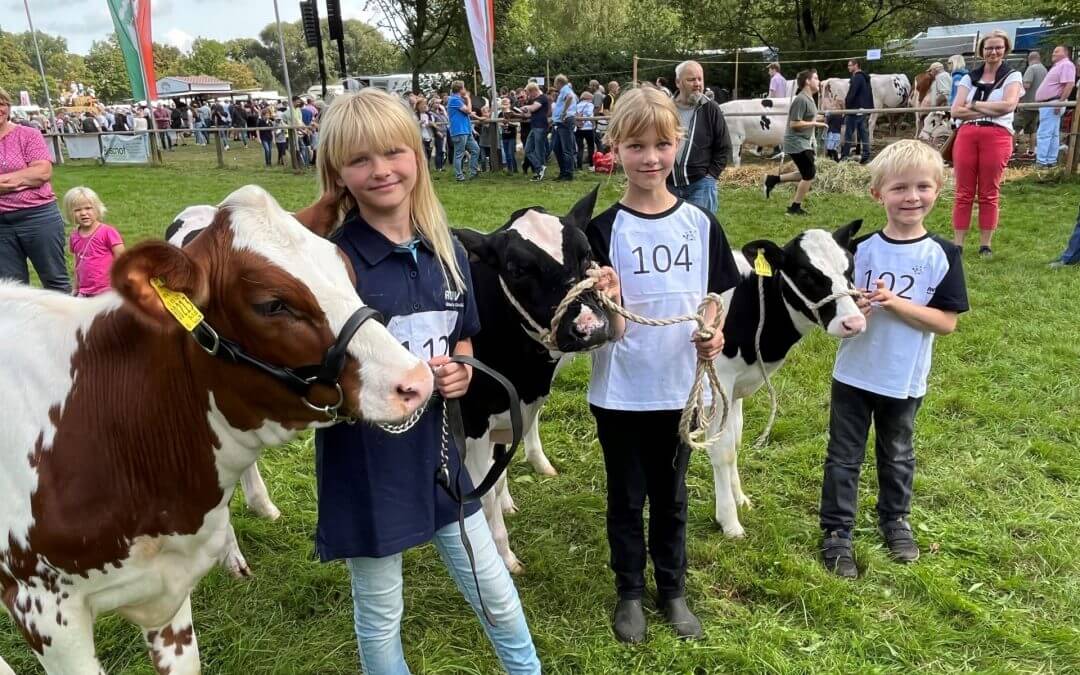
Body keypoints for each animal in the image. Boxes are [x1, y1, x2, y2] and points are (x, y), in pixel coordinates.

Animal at [708, 221, 868, 537]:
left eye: (850, 269)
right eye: (806, 275)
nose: (853, 323)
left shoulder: (737, 388)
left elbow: (735, 441)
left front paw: (740, 499)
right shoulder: (720, 381)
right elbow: (723, 451)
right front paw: (730, 522)